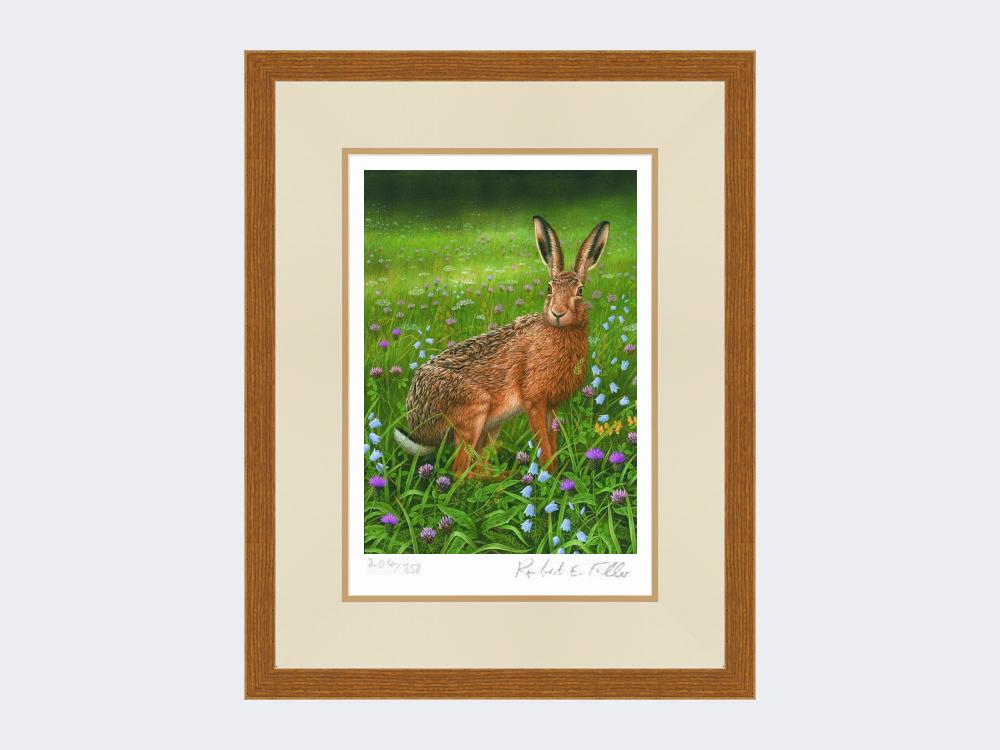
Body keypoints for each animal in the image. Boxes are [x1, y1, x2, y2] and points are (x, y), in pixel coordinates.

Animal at [394, 215, 610, 477]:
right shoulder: (534, 401)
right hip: (472, 411)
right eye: (549, 289)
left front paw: (556, 474)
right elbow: (544, 443)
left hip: (491, 425)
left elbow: (553, 440)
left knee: (477, 464)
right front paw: (549, 475)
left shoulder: (552, 405)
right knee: (460, 472)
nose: (558, 313)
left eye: (580, 291)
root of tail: (417, 423)